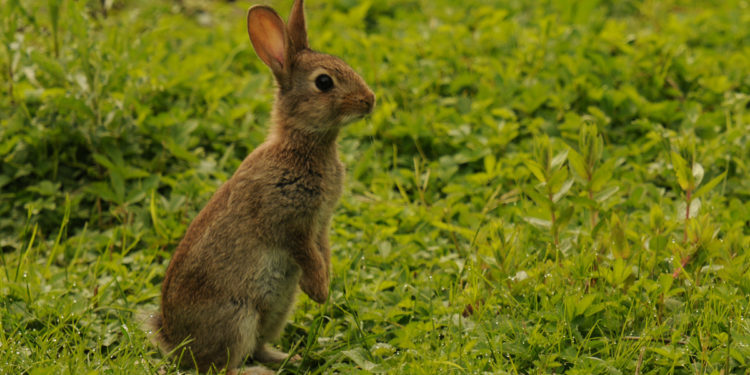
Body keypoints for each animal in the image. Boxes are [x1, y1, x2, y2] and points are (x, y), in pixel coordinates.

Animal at [145, 1, 374, 374]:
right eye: (324, 82)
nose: (370, 100)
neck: (303, 144)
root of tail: (176, 345)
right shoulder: (289, 221)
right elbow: (305, 251)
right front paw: (319, 290)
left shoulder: (321, 223)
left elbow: (323, 250)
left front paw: (323, 286)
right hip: (238, 317)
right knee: (223, 365)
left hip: (277, 308)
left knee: (259, 346)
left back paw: (292, 358)